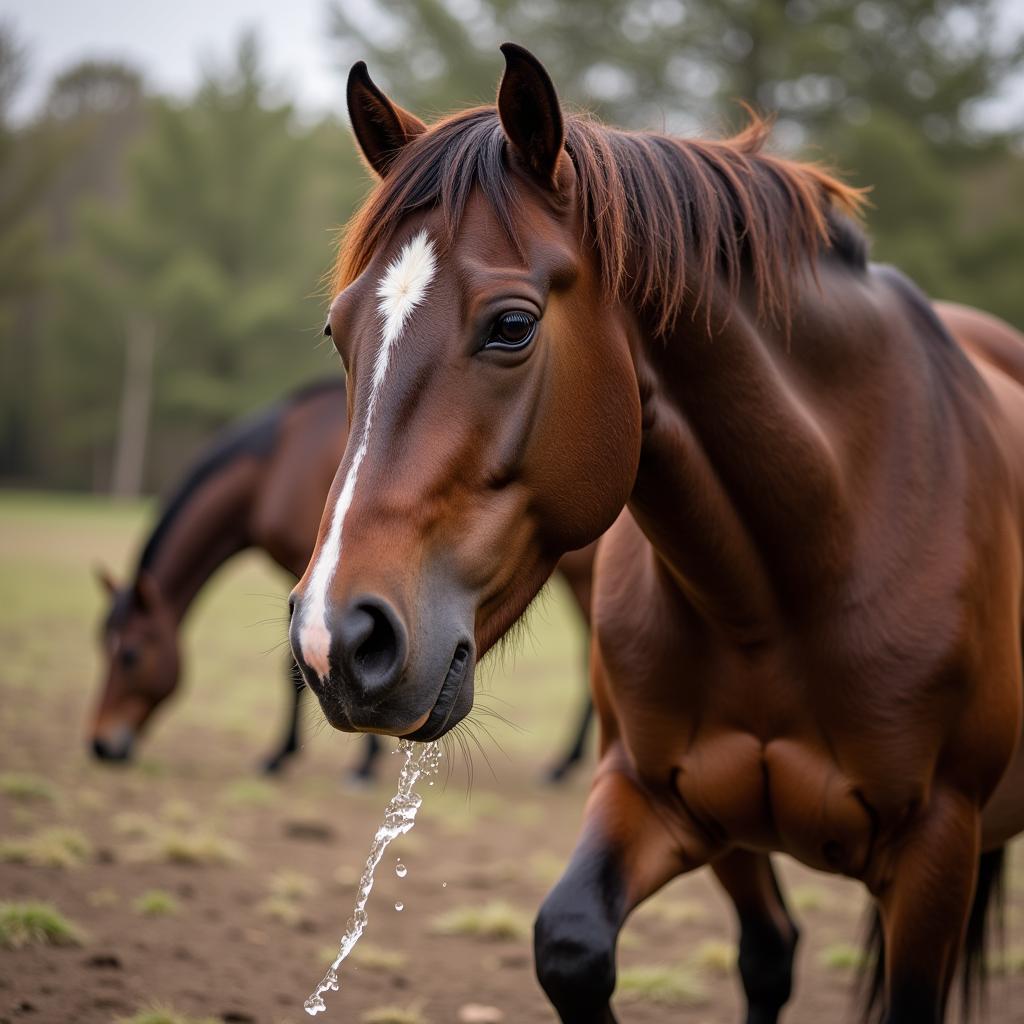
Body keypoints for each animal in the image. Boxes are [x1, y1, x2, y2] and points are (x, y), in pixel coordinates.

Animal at [91, 376, 598, 782]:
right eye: (103, 648)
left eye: (131, 655)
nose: (100, 744)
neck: (277, 464)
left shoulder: (318, 573)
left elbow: (305, 666)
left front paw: (298, 758)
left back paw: (563, 766)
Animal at [286, 46, 1024, 1024]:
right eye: (340, 331)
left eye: (512, 326)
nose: (334, 640)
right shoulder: (656, 795)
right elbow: (574, 944)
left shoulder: (936, 845)